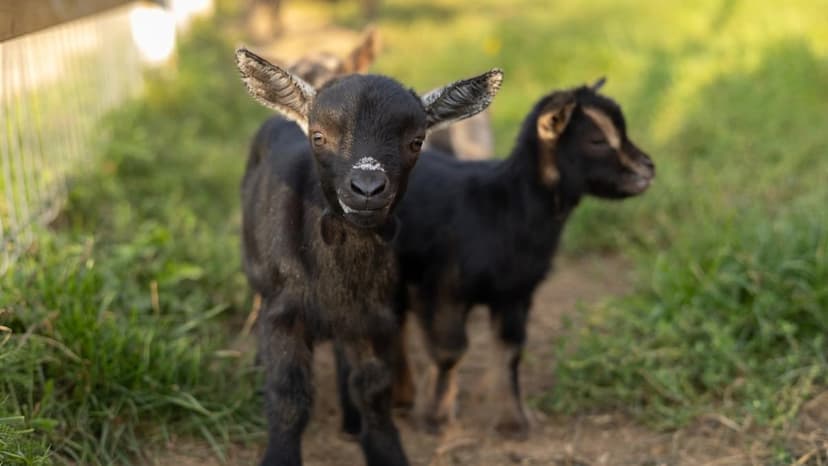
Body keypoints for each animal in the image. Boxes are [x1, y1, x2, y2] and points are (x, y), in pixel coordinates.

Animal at [234, 47, 503, 466]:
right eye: (319, 136)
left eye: (416, 141)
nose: (367, 187)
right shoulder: (284, 310)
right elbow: (288, 393)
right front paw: (279, 455)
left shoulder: (374, 315)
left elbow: (375, 391)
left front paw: (384, 449)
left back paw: (349, 420)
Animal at [387, 79, 655, 439]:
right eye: (596, 140)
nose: (647, 168)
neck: (506, 206)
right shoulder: (443, 286)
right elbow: (450, 351)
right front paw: (435, 417)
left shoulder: (516, 293)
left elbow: (509, 352)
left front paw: (513, 421)